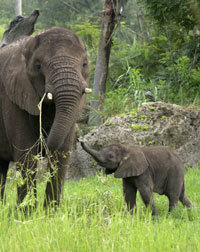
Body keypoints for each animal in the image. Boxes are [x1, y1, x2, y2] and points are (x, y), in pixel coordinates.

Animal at [0, 27, 91, 207]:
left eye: (84, 64)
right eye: (37, 67)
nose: (44, 141)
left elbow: (61, 154)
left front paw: (51, 211)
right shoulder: (12, 98)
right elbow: (27, 155)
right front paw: (27, 211)